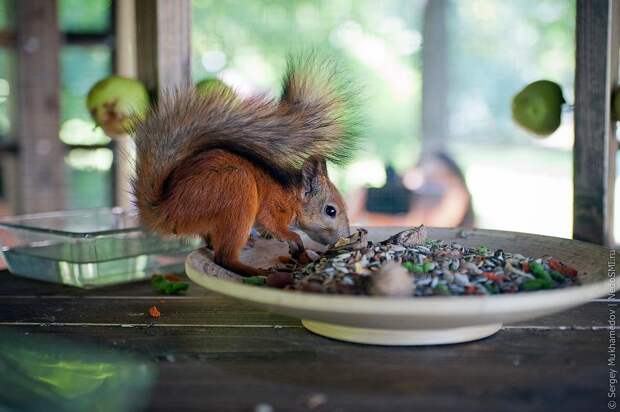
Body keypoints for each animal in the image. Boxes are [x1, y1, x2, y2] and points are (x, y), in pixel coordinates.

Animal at [133, 56, 360, 276]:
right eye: (330, 211)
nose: (346, 237)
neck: (293, 197)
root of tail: (167, 211)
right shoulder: (274, 205)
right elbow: (272, 223)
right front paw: (292, 237)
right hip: (237, 191)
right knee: (223, 258)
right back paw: (255, 272)